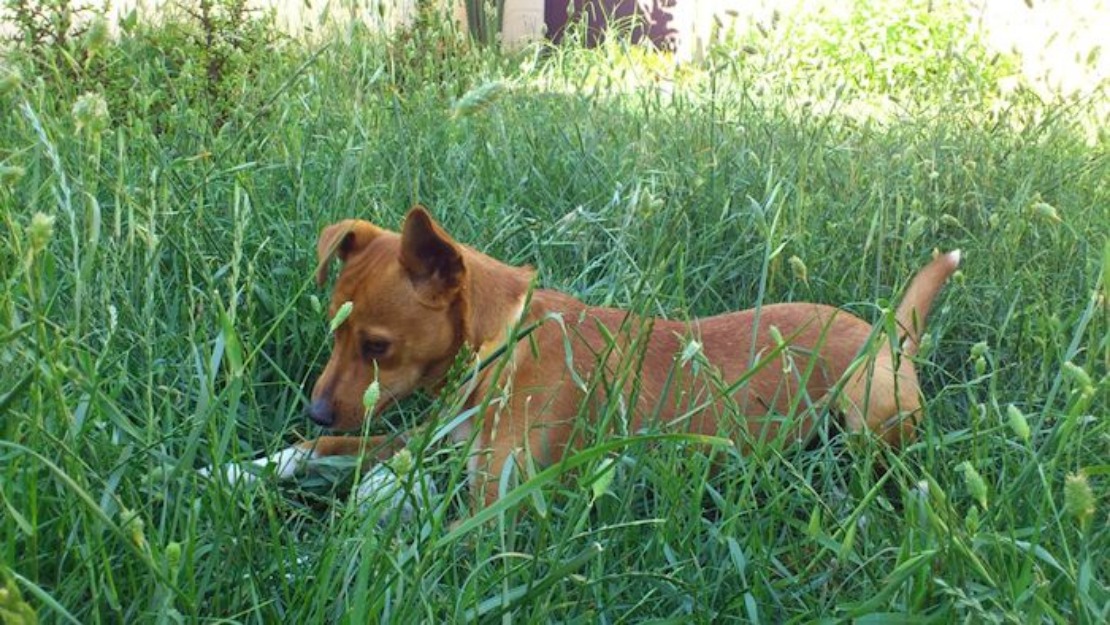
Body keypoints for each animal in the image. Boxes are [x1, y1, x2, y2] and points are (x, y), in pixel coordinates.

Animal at [212, 206, 959, 508]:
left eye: (376, 346)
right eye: (334, 333)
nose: (313, 409)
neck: (500, 350)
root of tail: (887, 334)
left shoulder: (496, 503)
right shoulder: (421, 440)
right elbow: (329, 450)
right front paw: (233, 470)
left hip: (867, 418)